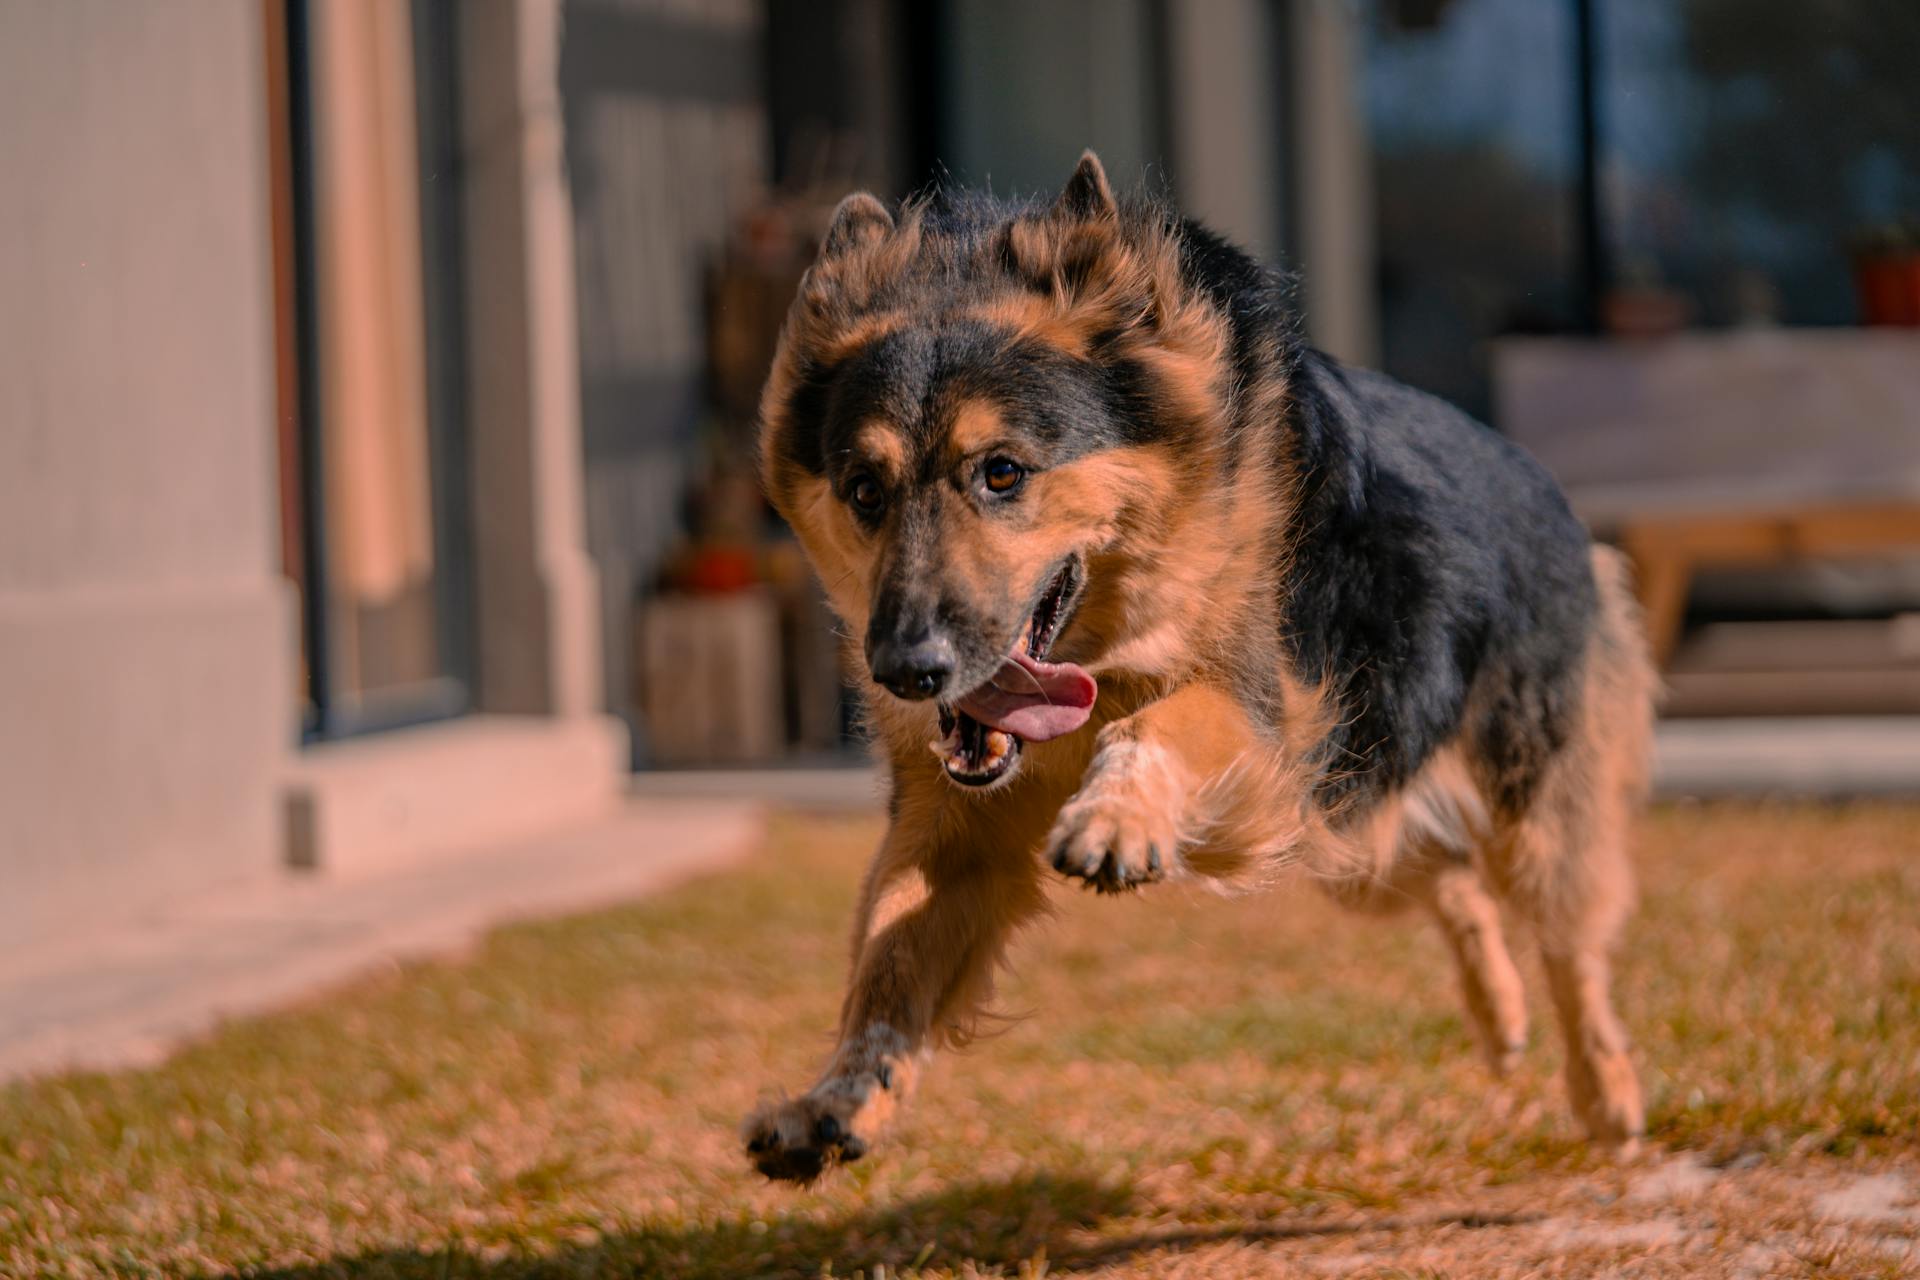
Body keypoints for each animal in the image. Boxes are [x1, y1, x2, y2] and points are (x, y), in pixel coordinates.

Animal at [741, 155, 1658, 1189]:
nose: (906, 672)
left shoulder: (1260, 721)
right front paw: (838, 1098)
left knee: (1569, 944)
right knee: (1447, 876)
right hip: (1349, 821)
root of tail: (1553, 491)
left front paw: (1116, 817)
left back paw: (1607, 1093)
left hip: (1513, 808)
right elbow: (886, 965)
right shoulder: (958, 824)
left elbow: (1161, 725)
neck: (1107, 650)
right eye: (865, 491)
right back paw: (1500, 1019)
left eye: (1003, 473)